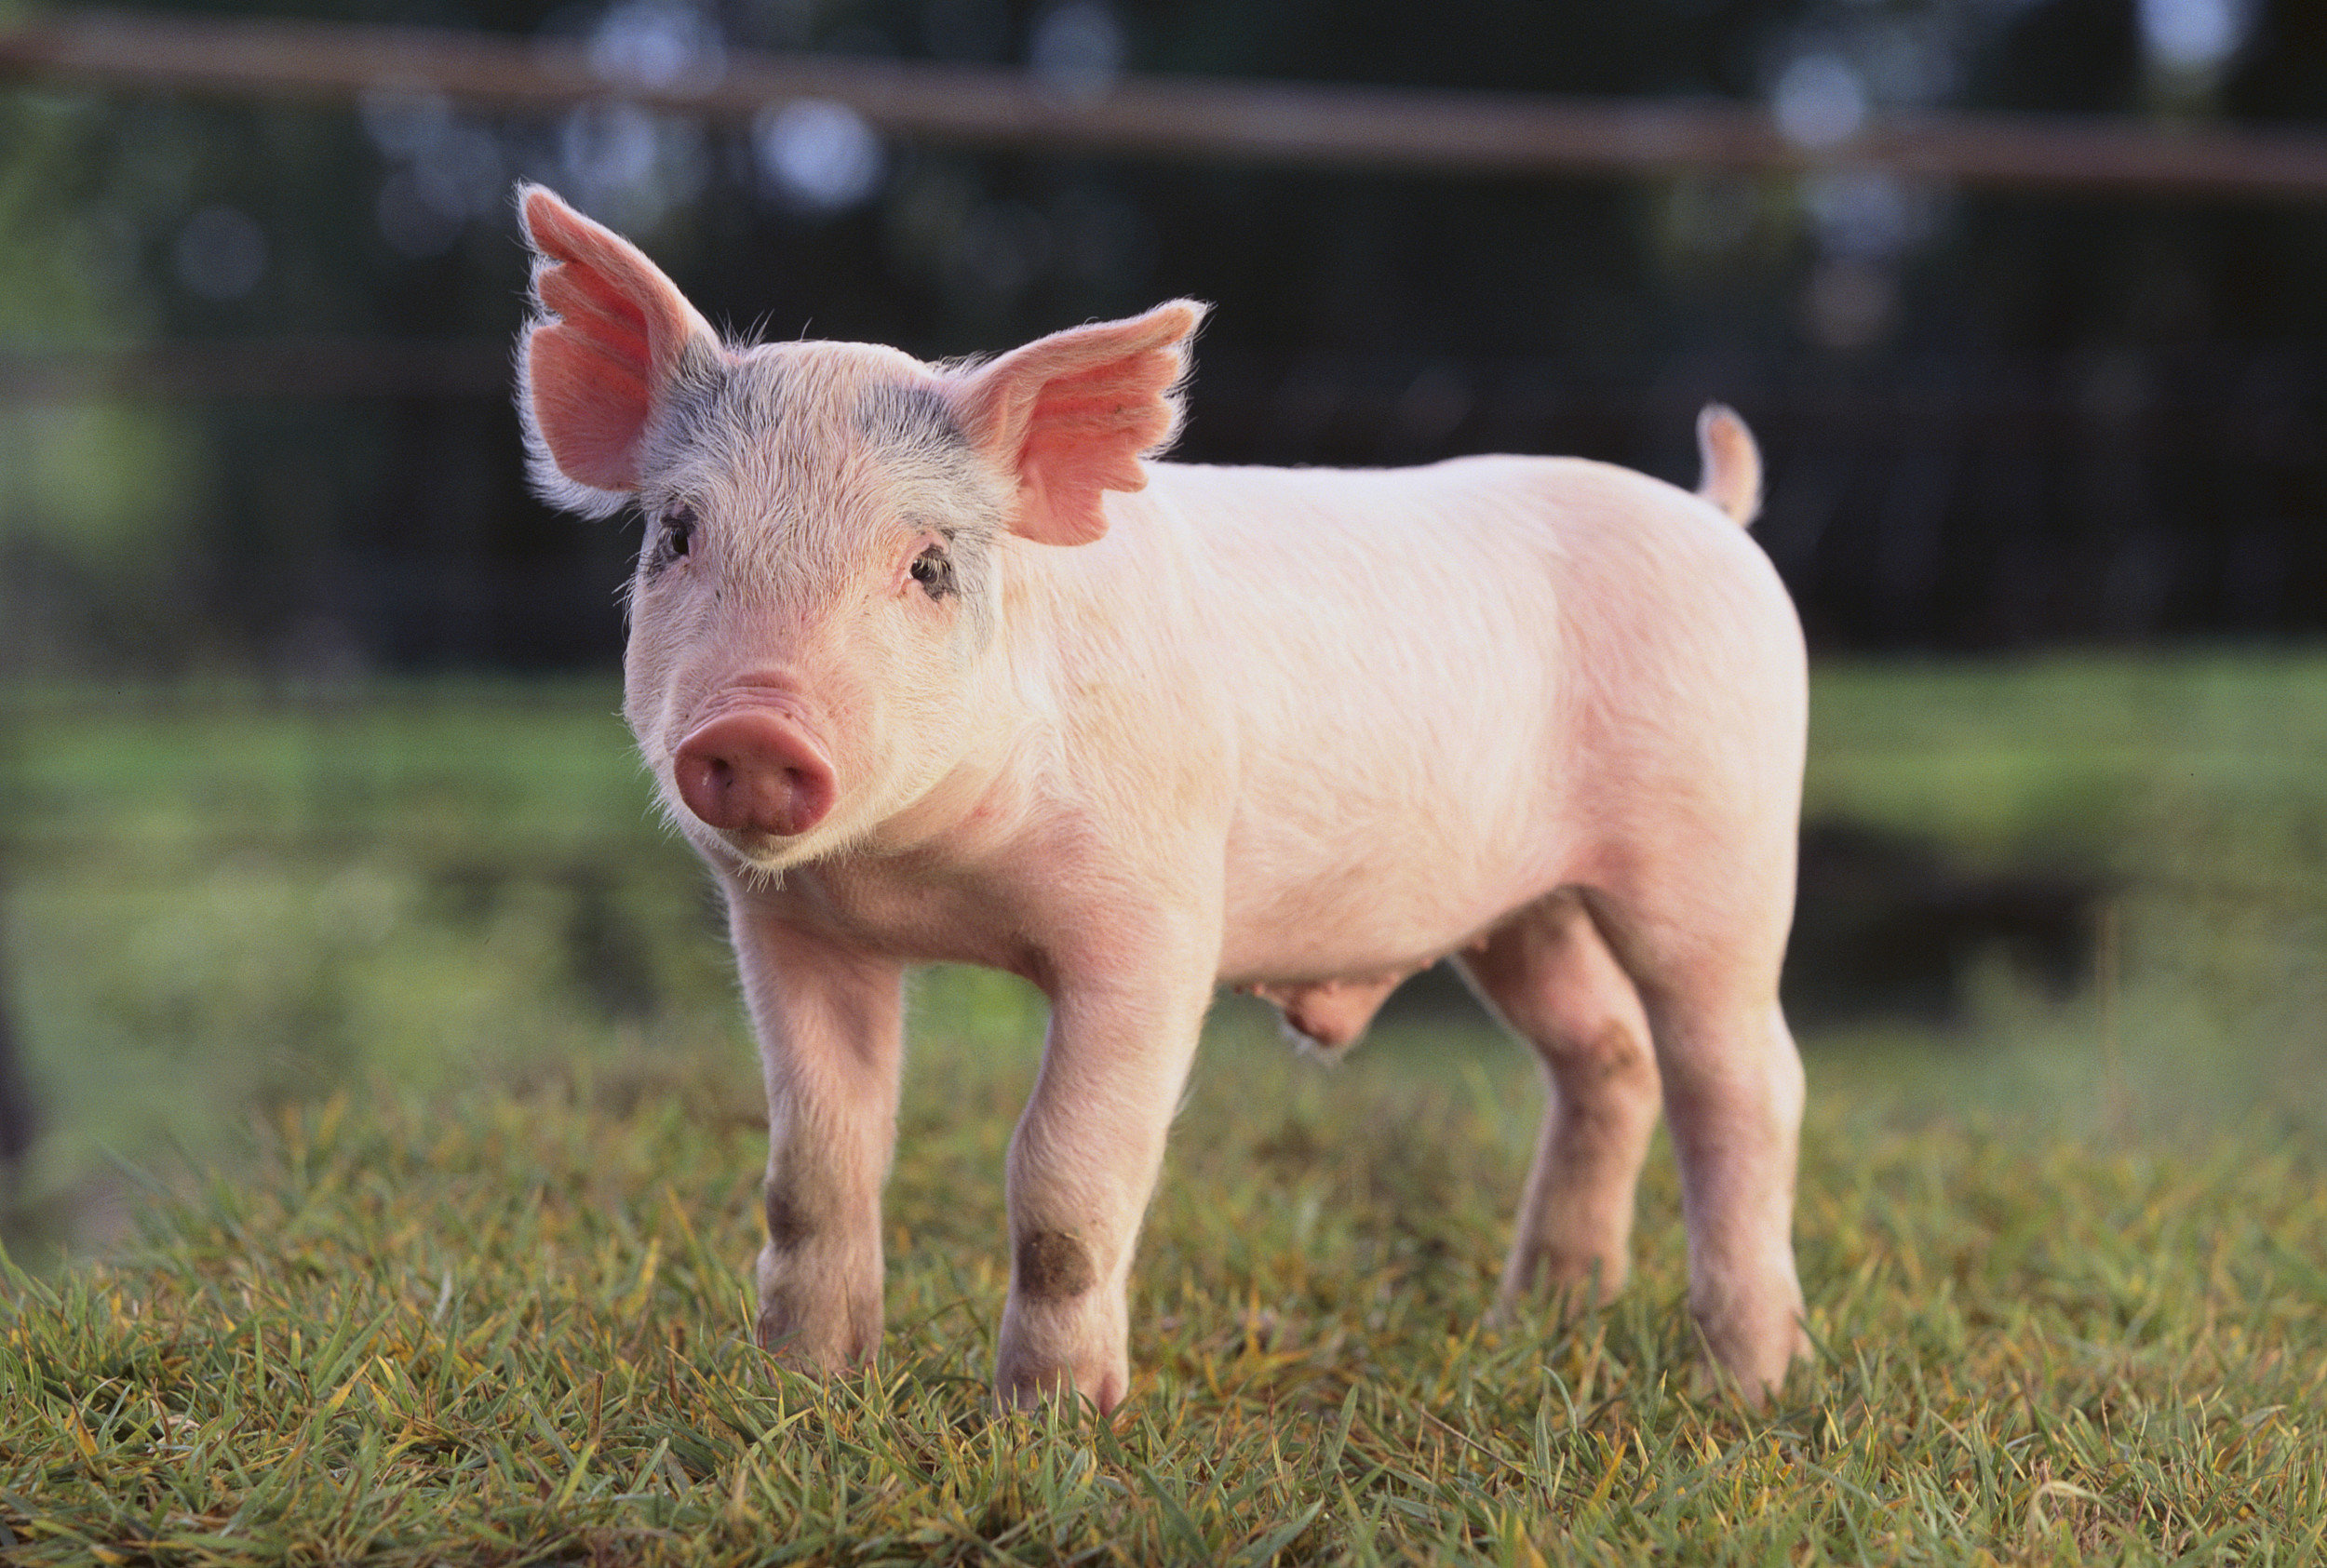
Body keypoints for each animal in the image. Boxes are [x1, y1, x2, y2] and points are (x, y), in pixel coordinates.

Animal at [518, 180, 1806, 1405]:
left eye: (929, 564)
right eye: (678, 534)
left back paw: (1746, 1381)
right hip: (1523, 909)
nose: (752, 727)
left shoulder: (1156, 925)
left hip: (1721, 846)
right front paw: (801, 1384)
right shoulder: (791, 927)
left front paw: (1054, 1418)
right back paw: (1540, 1316)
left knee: (1741, 1078)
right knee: (1607, 1053)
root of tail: (1715, 516)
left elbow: (1061, 1174)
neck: (925, 877)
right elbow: (814, 1164)